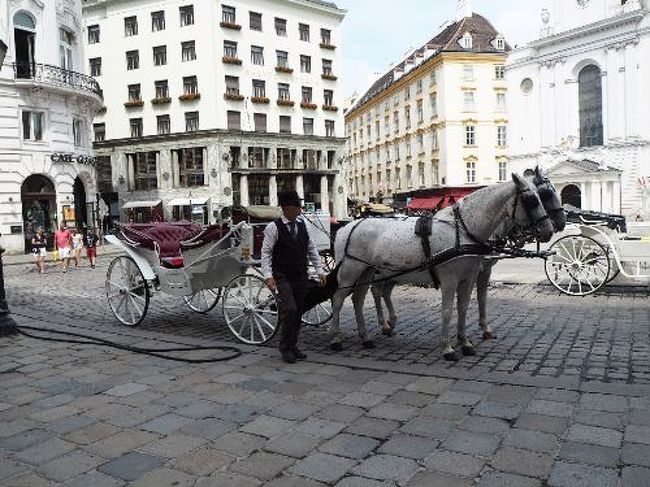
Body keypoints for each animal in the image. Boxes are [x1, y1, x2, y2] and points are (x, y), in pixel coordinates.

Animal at [330, 173, 552, 360]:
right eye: (532, 201)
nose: (549, 230)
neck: (462, 230)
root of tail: (347, 227)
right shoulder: (449, 280)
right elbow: (447, 310)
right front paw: (447, 348)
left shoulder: (468, 278)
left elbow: (463, 308)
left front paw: (465, 342)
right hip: (350, 272)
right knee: (338, 299)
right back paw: (336, 339)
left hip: (366, 271)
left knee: (358, 300)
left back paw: (366, 337)